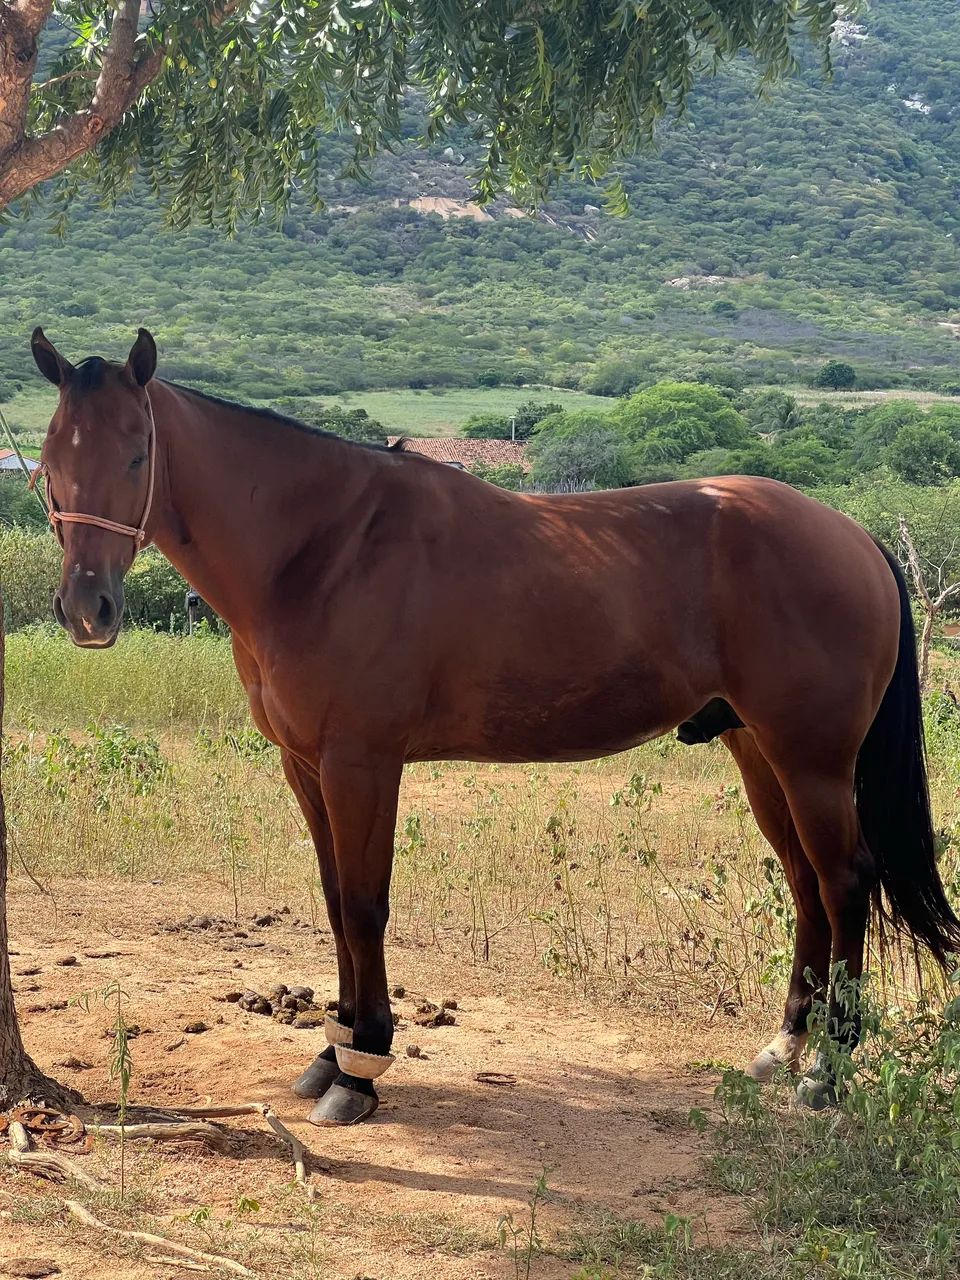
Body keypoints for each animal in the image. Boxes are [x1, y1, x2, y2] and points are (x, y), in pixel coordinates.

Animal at [30, 328, 960, 1125]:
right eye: (47, 461)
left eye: (137, 453)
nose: (87, 610)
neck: (322, 549)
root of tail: (851, 534)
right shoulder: (305, 764)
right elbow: (332, 900)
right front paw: (330, 1052)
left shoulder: (362, 763)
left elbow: (364, 904)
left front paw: (362, 1068)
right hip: (758, 751)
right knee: (805, 882)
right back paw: (785, 1045)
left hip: (812, 759)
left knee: (844, 882)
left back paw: (828, 1071)